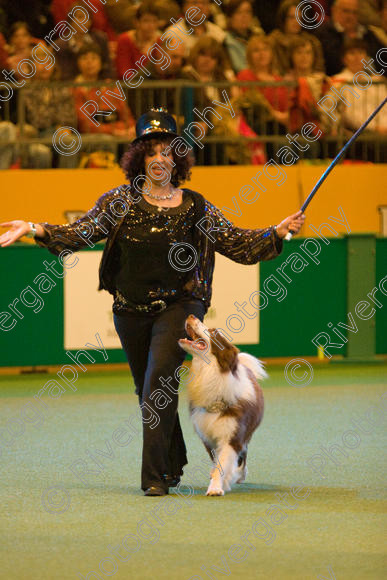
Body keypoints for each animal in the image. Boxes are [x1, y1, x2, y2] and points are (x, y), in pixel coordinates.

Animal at [179, 314, 266, 496]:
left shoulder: (233, 434)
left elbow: (223, 463)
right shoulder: (207, 434)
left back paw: (240, 475)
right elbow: (217, 462)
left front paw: (216, 488)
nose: (191, 315)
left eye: (213, 332)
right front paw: (220, 481)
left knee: (243, 455)